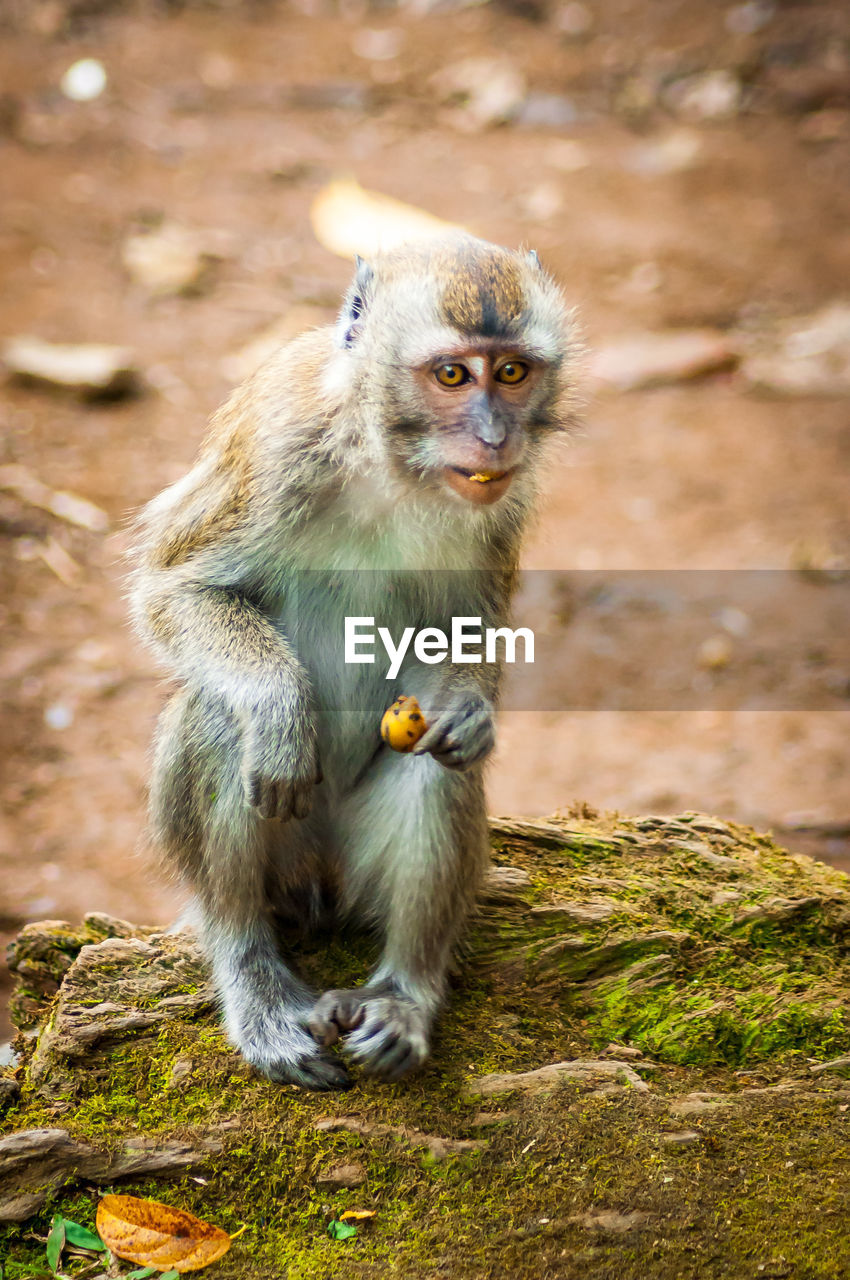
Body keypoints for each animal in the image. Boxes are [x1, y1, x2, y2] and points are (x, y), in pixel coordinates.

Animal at [129, 238, 581, 1090]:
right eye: (451, 375)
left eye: (512, 372)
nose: (495, 438)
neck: (392, 465)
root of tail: (322, 887)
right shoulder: (276, 447)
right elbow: (176, 589)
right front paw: (279, 705)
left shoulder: (506, 500)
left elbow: (471, 629)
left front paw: (472, 710)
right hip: (284, 854)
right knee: (221, 722)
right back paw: (253, 974)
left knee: (438, 763)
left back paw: (403, 991)